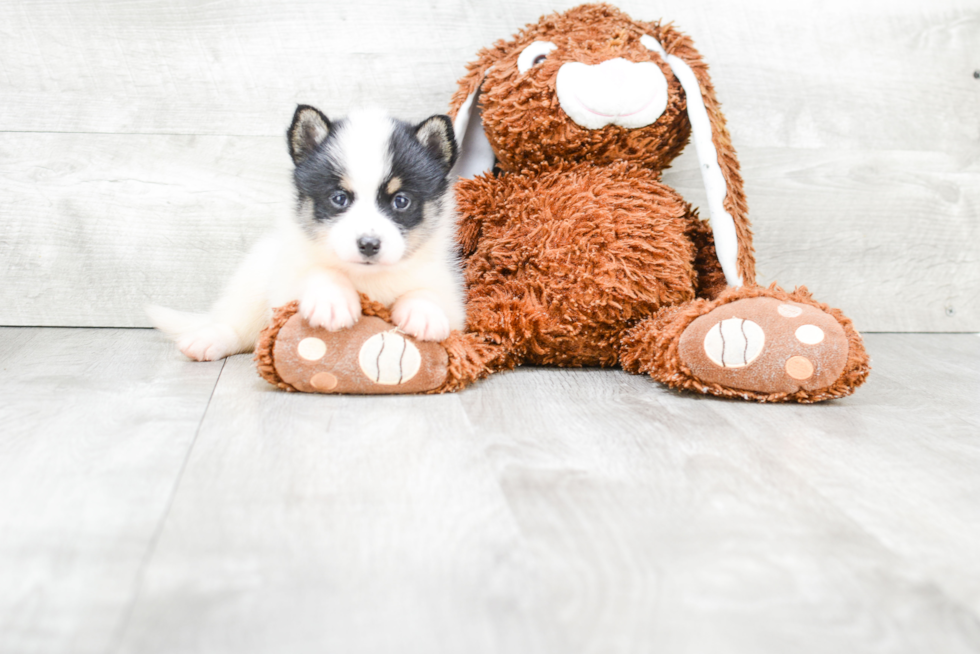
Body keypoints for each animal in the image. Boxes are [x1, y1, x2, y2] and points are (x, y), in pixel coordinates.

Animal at [147, 107, 466, 364]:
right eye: (339, 198)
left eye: (401, 201)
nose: (368, 245)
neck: (366, 278)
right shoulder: (286, 282)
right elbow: (318, 271)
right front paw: (332, 301)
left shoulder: (449, 293)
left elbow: (426, 292)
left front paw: (424, 313)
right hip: (253, 279)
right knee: (236, 324)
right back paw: (209, 339)